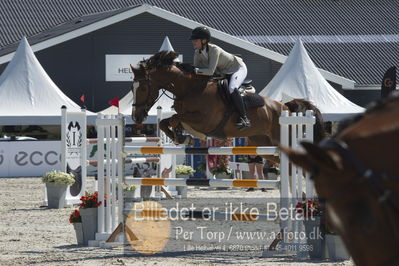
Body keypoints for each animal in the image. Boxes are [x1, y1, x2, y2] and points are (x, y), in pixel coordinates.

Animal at [131, 50, 324, 162]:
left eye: (142, 87)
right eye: (132, 87)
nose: (136, 117)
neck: (190, 89)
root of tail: (286, 108)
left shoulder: (205, 121)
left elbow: (175, 118)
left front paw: (181, 137)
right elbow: (167, 122)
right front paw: (180, 137)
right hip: (264, 145)